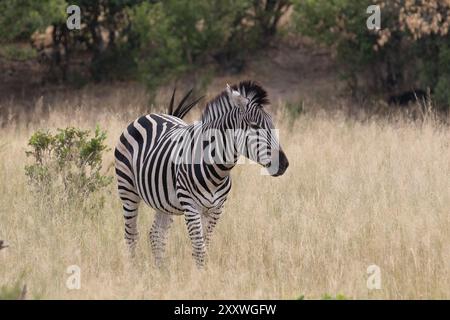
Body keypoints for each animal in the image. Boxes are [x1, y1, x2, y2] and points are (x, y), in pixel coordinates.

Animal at [115, 80, 288, 268]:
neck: (217, 171)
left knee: (156, 234)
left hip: (164, 202)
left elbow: (205, 245)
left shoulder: (216, 208)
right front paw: (200, 274)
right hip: (127, 190)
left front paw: (202, 272)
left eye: (273, 124)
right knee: (131, 235)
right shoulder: (191, 206)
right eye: (255, 126)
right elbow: (199, 248)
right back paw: (132, 269)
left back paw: (161, 270)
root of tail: (152, 115)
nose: (284, 164)